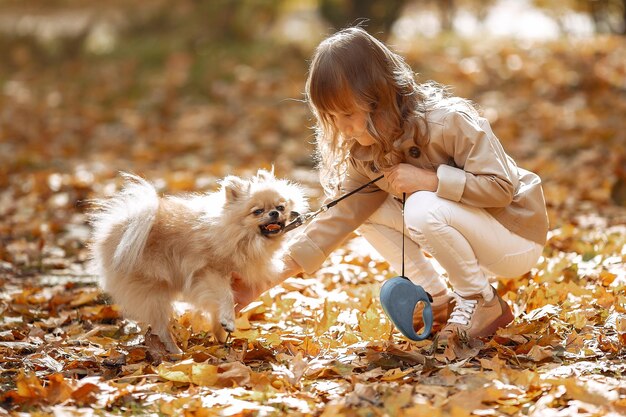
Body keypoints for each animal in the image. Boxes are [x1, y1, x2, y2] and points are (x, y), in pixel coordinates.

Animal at [89, 168, 306, 352]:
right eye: (257, 211)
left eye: (281, 207)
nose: (274, 213)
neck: (244, 238)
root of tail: (122, 226)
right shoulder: (211, 272)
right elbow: (226, 297)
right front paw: (228, 320)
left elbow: (220, 308)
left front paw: (221, 334)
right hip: (154, 290)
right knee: (160, 326)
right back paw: (175, 351)